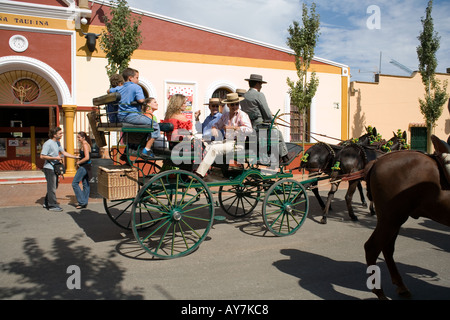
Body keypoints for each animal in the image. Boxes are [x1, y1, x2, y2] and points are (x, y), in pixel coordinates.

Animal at [364, 149, 448, 298]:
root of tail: (377, 161)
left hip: (394, 220)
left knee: (387, 248)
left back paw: (401, 286)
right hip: (391, 219)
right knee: (372, 248)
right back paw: (380, 293)